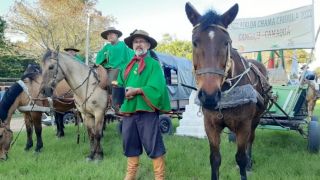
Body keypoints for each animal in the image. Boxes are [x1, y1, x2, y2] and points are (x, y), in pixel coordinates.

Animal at [185, 2, 270, 180]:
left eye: (226, 42)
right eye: (195, 42)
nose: (209, 96)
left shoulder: (244, 125)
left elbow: (241, 158)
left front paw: (245, 165)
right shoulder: (210, 125)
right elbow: (215, 159)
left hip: (256, 119)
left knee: (251, 139)